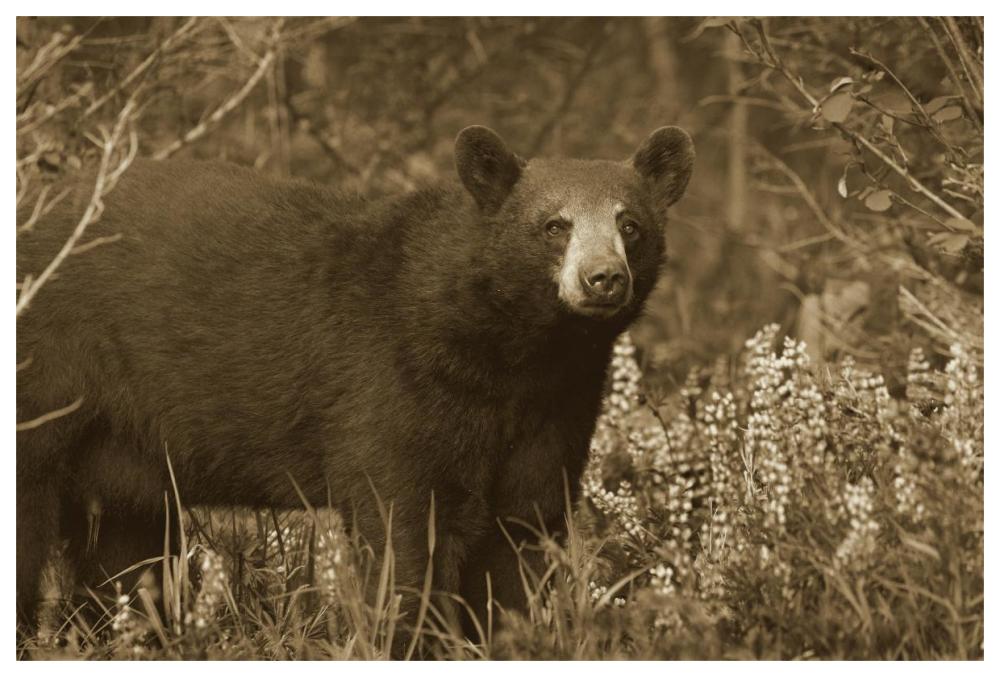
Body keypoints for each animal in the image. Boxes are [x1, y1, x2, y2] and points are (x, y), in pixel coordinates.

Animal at [16, 125, 694, 647]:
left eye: (630, 224)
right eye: (554, 225)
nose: (603, 278)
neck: (513, 353)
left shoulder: (555, 409)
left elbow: (522, 530)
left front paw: (508, 636)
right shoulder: (393, 384)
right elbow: (402, 529)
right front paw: (409, 638)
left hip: (120, 449)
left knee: (128, 549)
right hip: (48, 377)